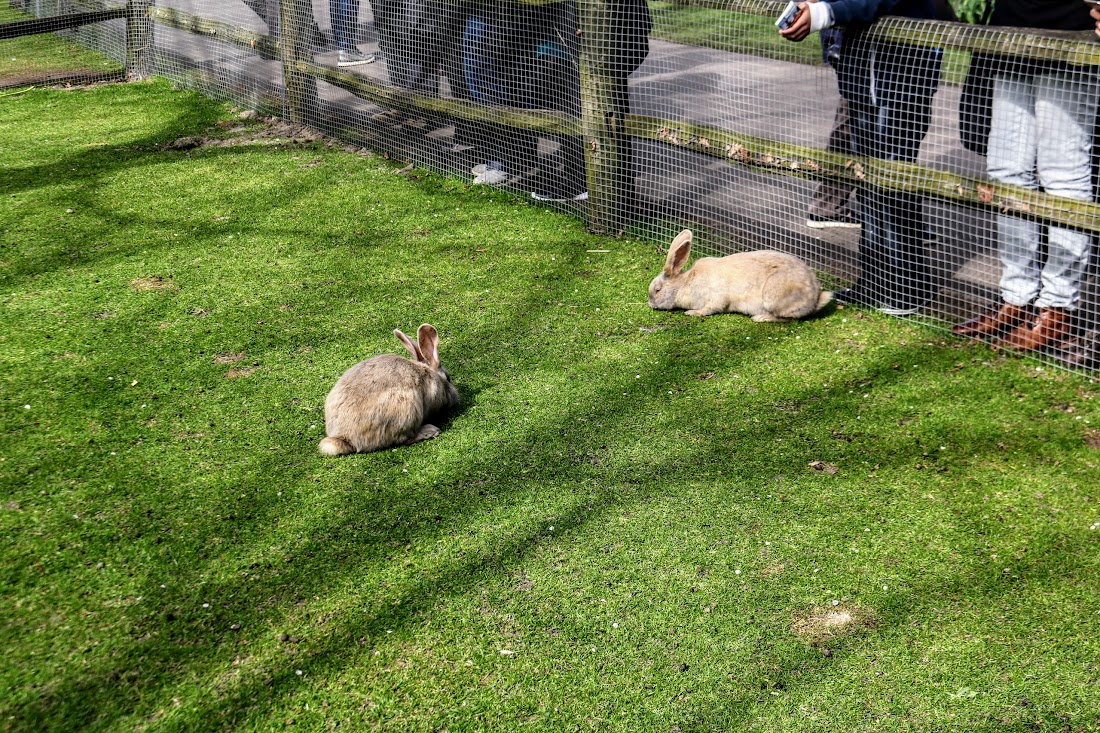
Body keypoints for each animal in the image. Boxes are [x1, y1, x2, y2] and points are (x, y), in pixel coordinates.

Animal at [319, 323, 459, 453]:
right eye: (448, 378)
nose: (456, 398)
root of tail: (344, 437)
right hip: (405, 408)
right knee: (402, 438)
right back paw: (430, 430)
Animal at [642, 228, 831, 319]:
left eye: (657, 290)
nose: (651, 304)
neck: (683, 283)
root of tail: (816, 298)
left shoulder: (716, 296)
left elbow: (710, 308)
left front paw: (693, 313)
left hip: (774, 296)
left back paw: (761, 318)